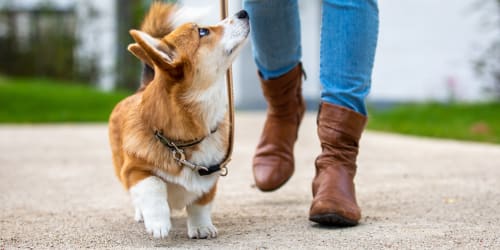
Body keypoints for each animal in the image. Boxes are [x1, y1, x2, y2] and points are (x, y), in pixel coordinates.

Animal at [109, 2, 250, 239]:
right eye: (203, 32)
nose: (244, 13)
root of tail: (142, 87)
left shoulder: (210, 176)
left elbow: (200, 204)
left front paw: (201, 228)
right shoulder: (134, 171)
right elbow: (154, 185)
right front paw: (158, 223)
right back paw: (142, 214)